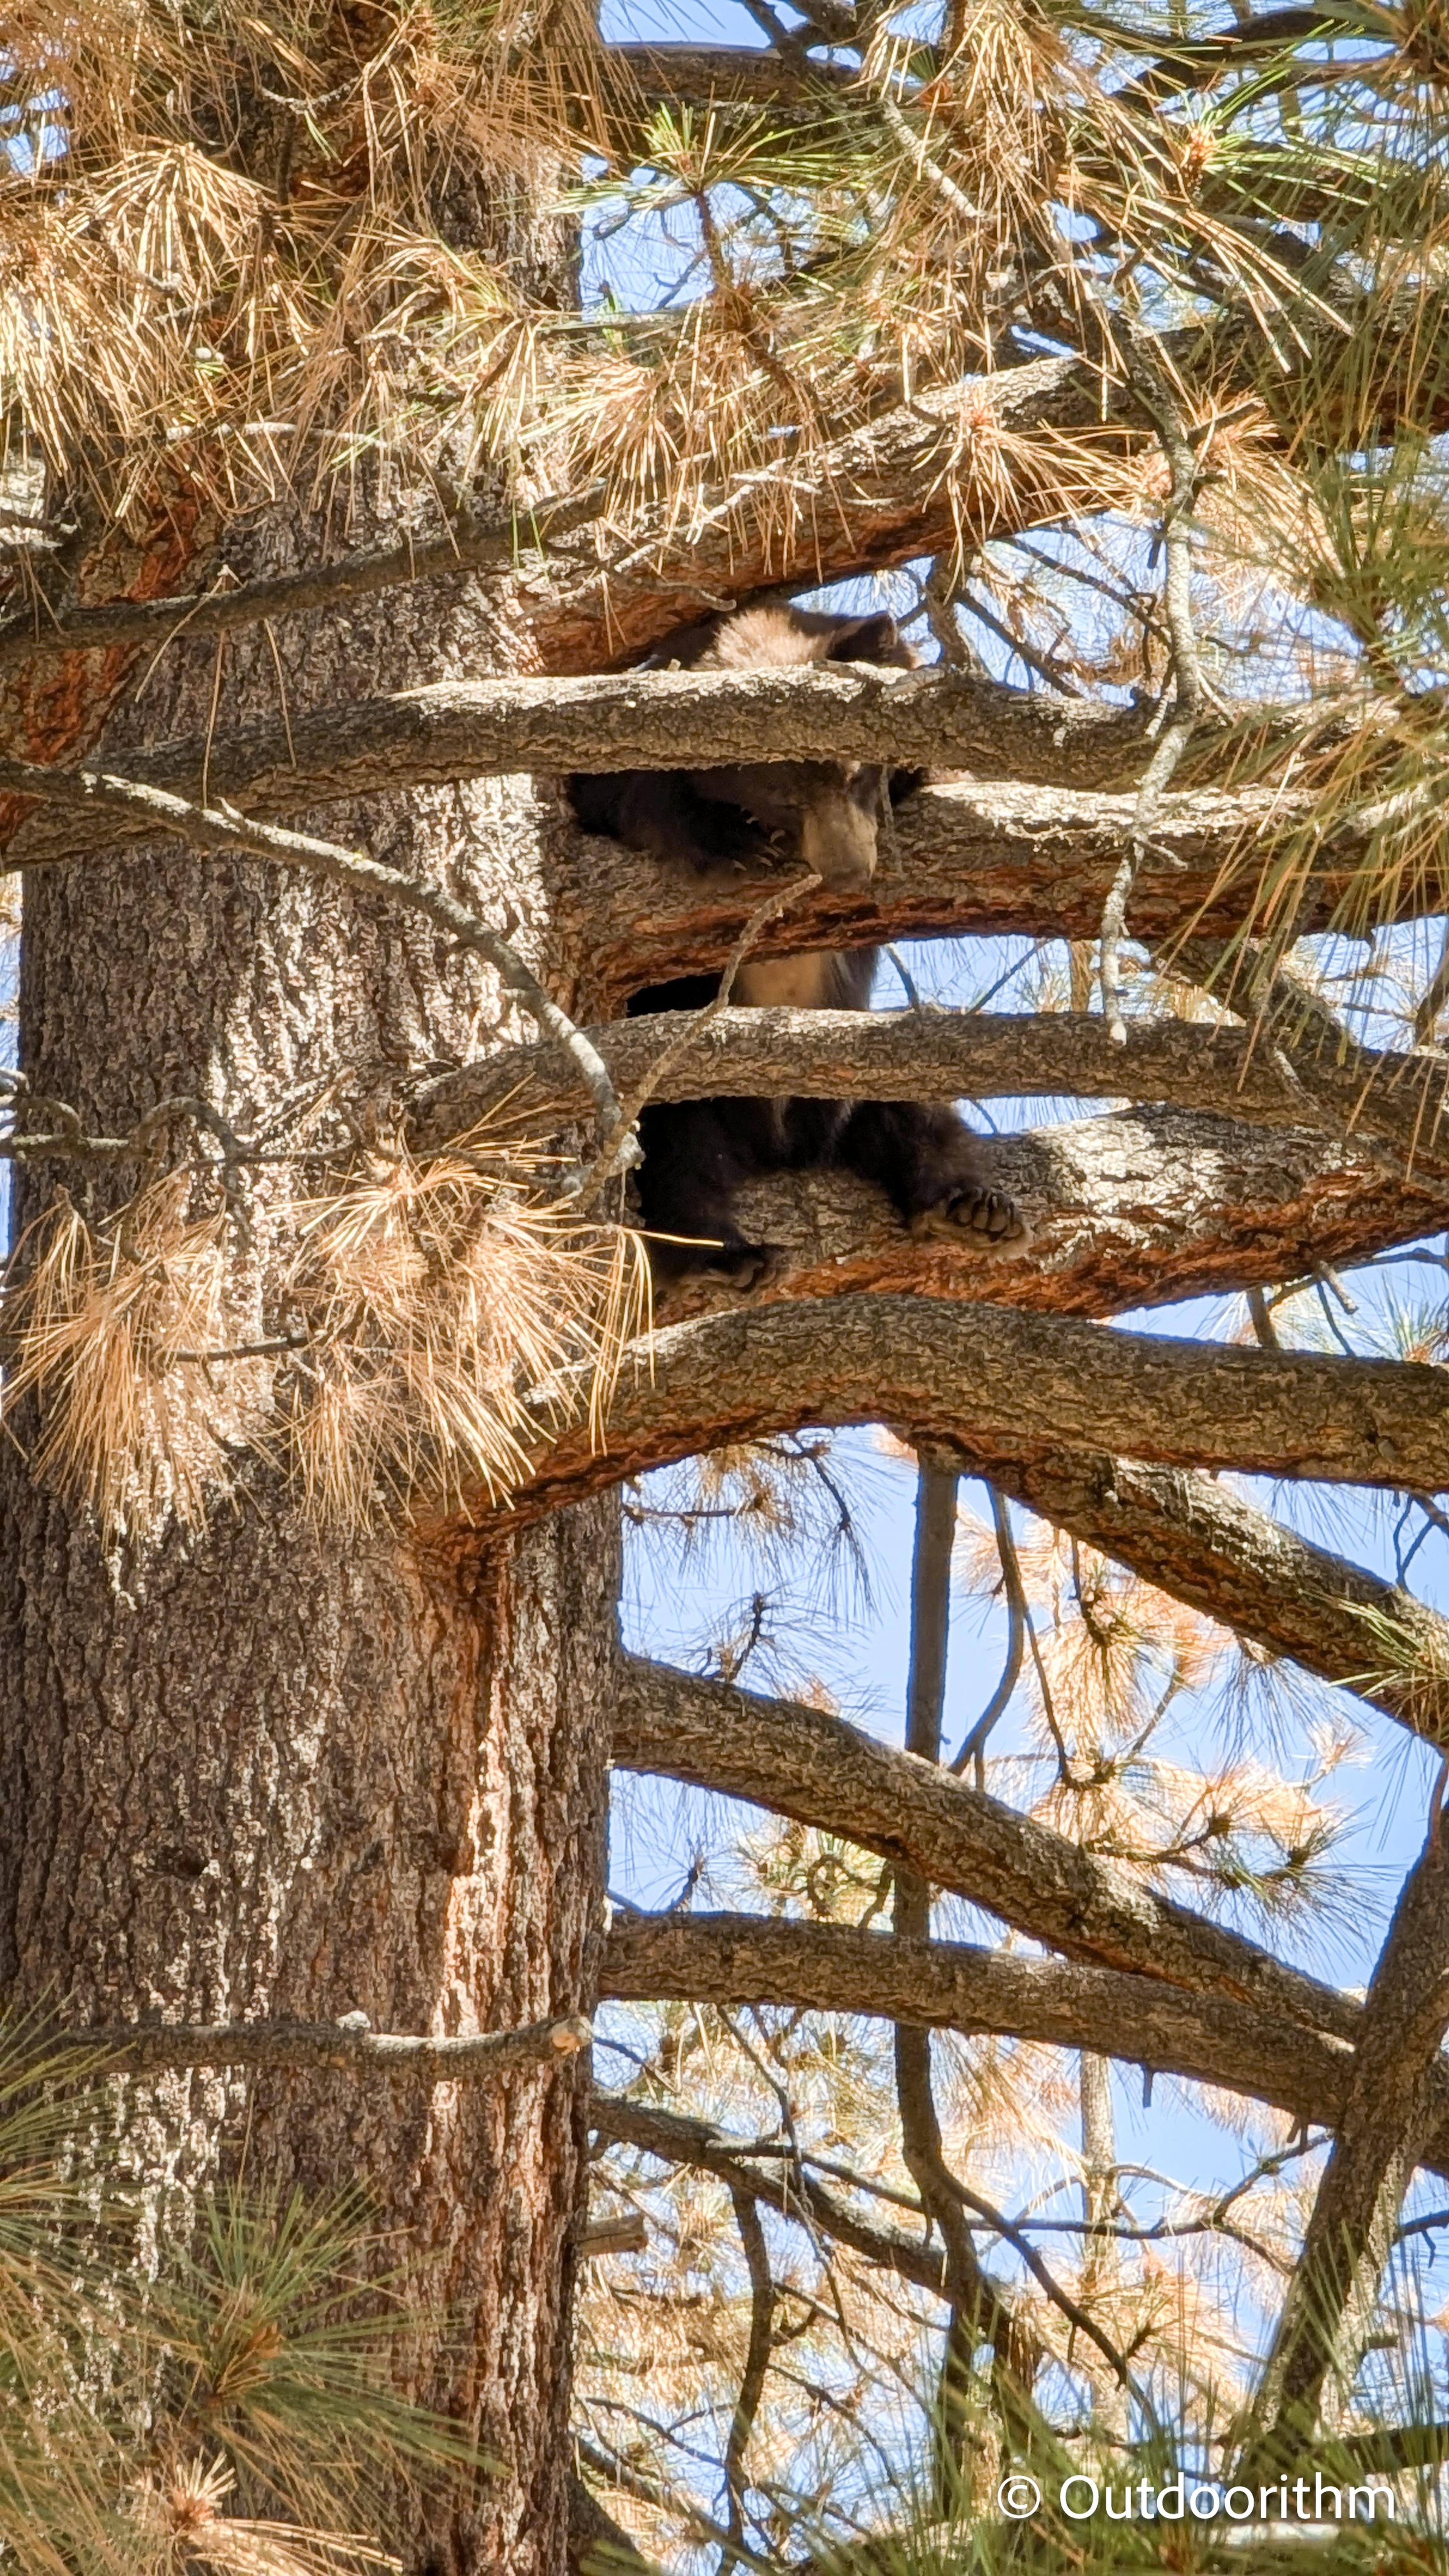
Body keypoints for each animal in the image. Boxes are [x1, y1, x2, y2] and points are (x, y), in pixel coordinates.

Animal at [568, 603, 1024, 1291]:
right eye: (782, 794)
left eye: (857, 772)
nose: (848, 874)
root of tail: (784, 1149)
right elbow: (611, 788)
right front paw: (727, 839)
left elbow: (950, 765)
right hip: (685, 1085)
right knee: (678, 1154)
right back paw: (722, 1257)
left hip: (854, 1078)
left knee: (918, 1110)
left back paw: (970, 1208)